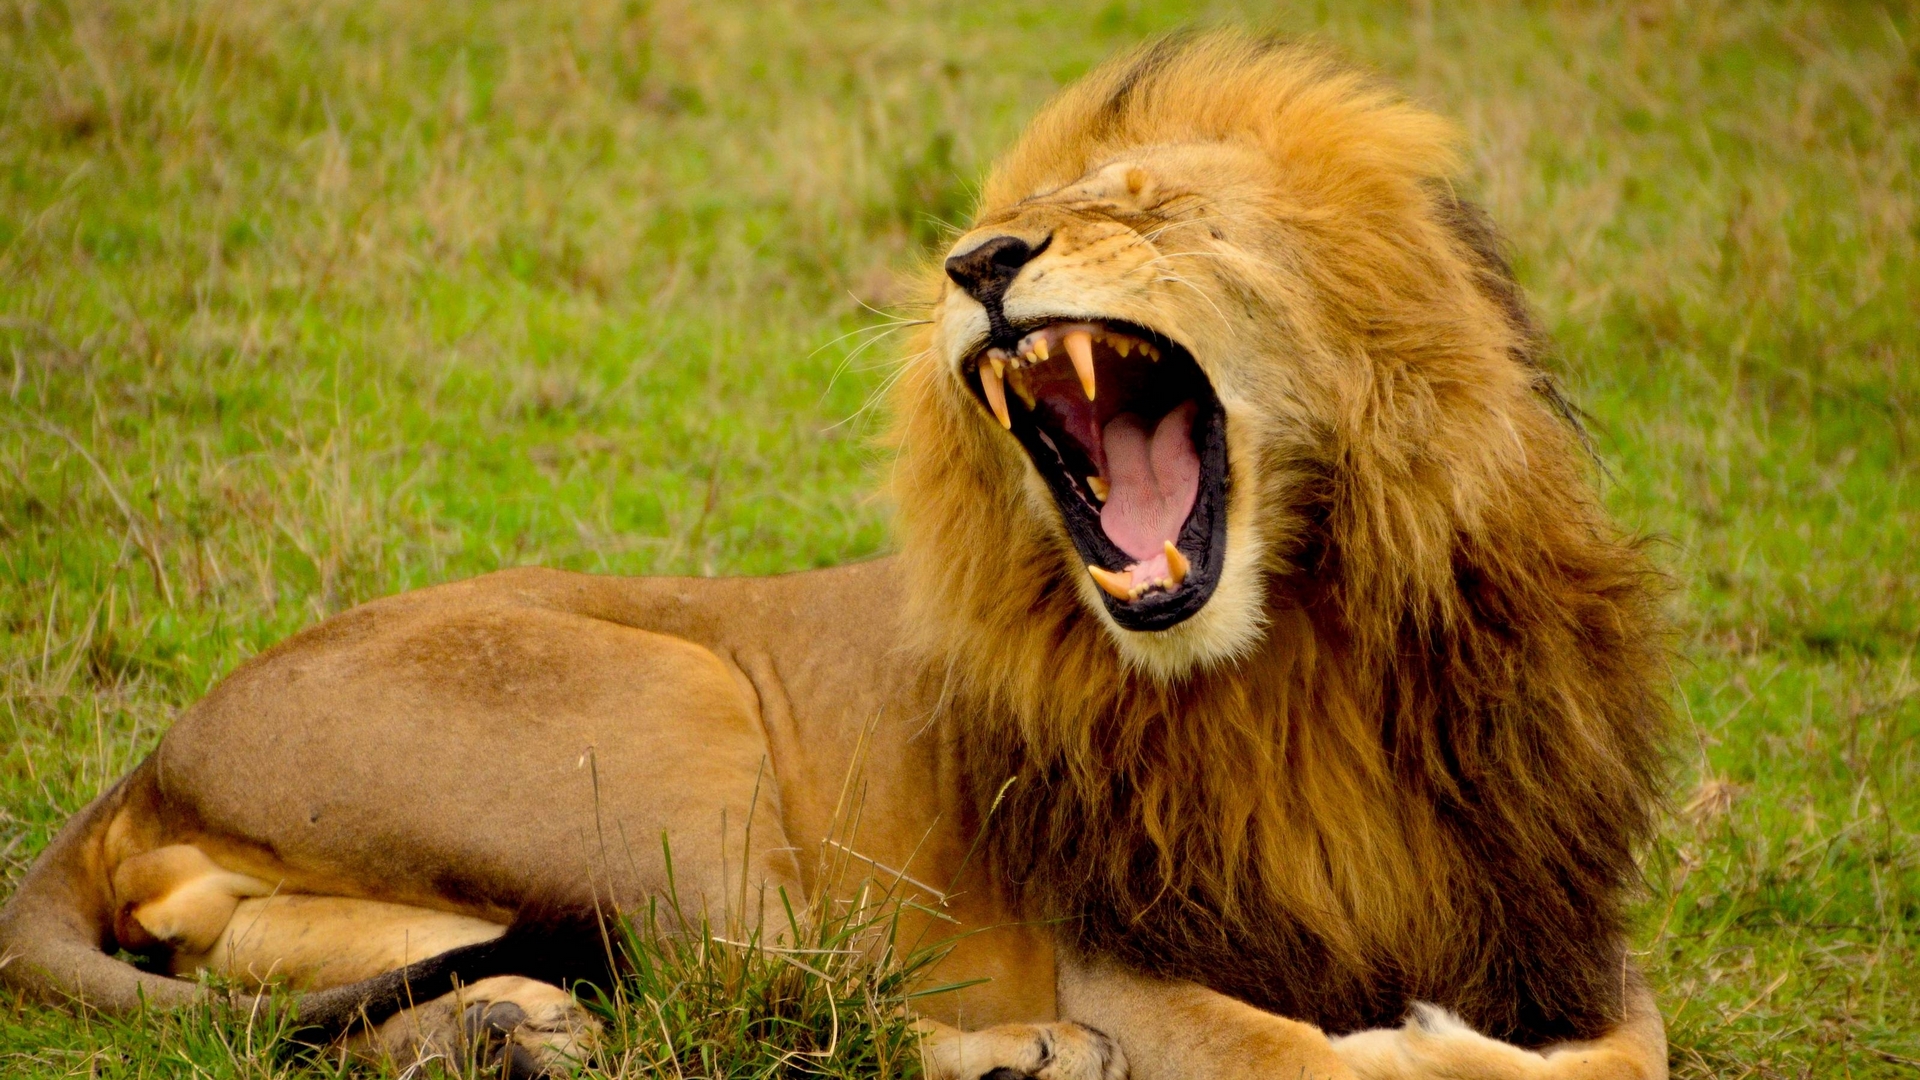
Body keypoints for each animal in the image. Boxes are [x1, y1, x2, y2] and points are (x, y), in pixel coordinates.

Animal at [0, 33, 1671, 1080]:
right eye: (1009, 219)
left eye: (1151, 208)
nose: (978, 263)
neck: (1306, 649)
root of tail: (157, 750)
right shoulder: (1121, 953)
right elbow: (1317, 1059)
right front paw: (1408, 1042)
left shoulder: (1552, 922)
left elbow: (1629, 1051)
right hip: (664, 717)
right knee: (756, 998)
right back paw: (1016, 1057)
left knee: (276, 974)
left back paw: (504, 1029)